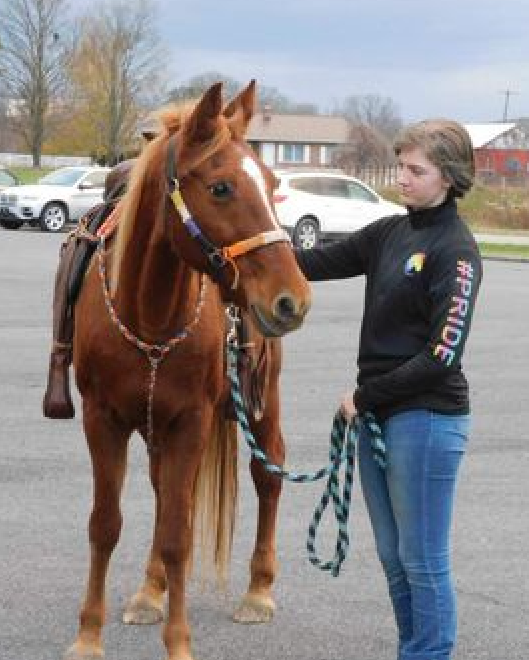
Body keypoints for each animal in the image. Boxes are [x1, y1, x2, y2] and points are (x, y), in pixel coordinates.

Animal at [65, 81, 312, 660]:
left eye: (273, 184)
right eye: (221, 187)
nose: (293, 298)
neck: (148, 317)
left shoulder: (192, 421)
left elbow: (179, 534)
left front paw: (178, 642)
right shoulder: (102, 420)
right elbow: (106, 525)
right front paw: (89, 634)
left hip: (261, 400)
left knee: (268, 473)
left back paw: (258, 591)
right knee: (162, 492)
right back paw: (149, 591)